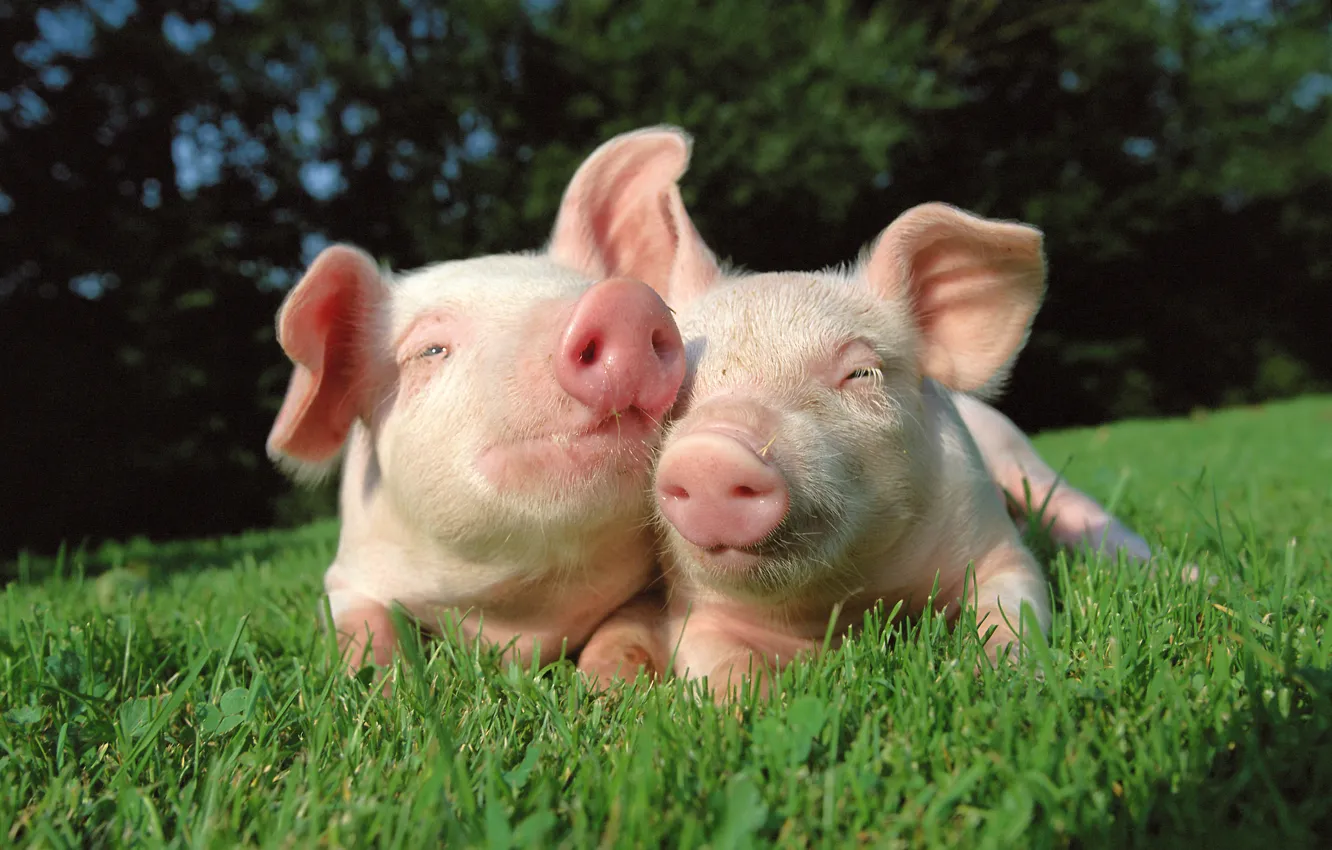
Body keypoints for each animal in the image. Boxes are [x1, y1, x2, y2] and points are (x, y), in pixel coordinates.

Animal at [265, 129, 700, 676]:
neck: (518, 614)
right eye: (431, 350)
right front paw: (377, 683)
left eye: (589, 289)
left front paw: (608, 684)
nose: (623, 302)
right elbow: (361, 626)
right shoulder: (346, 574)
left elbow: (627, 626)